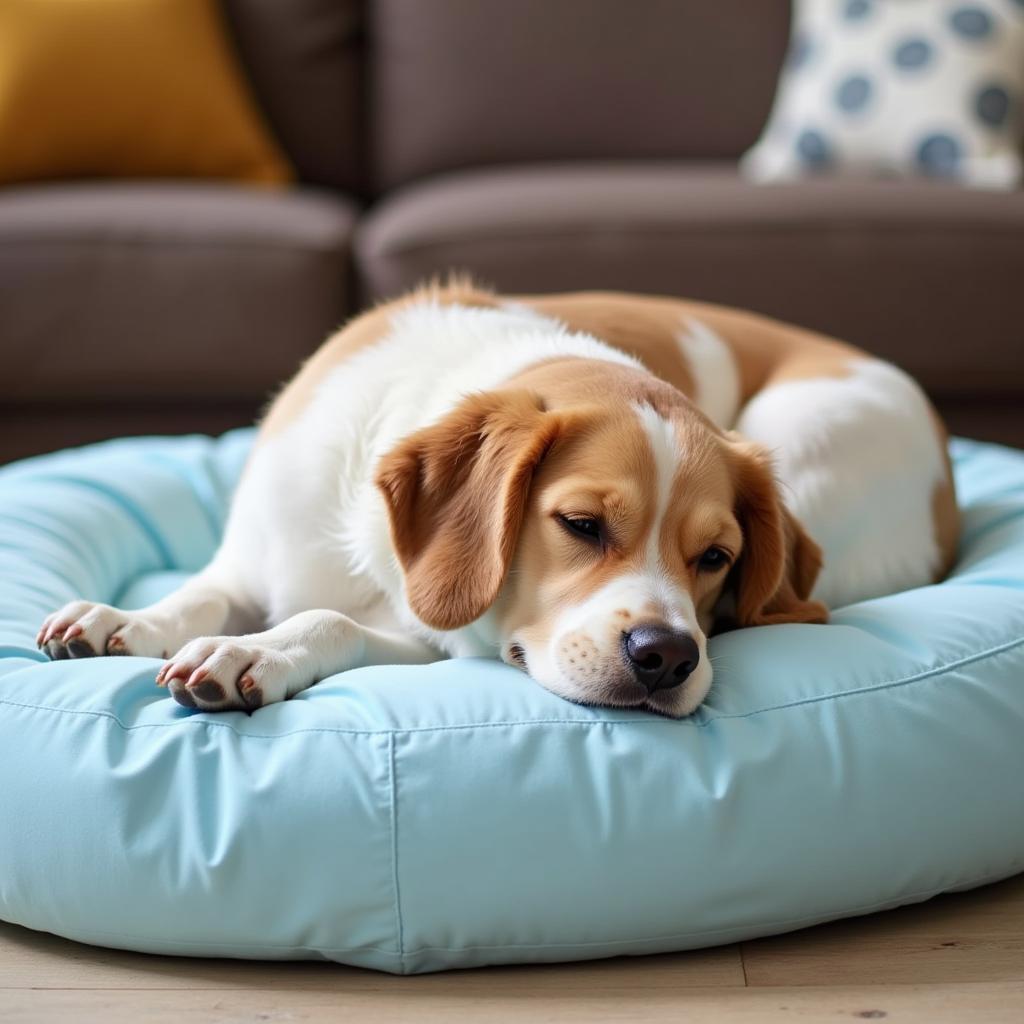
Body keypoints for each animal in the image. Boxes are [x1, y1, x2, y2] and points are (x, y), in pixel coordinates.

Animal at [34, 280, 958, 720]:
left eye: (716, 558)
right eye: (581, 525)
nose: (667, 656)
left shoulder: (435, 643)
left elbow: (329, 623)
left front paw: (253, 652)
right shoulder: (249, 558)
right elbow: (196, 593)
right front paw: (124, 619)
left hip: (804, 433)